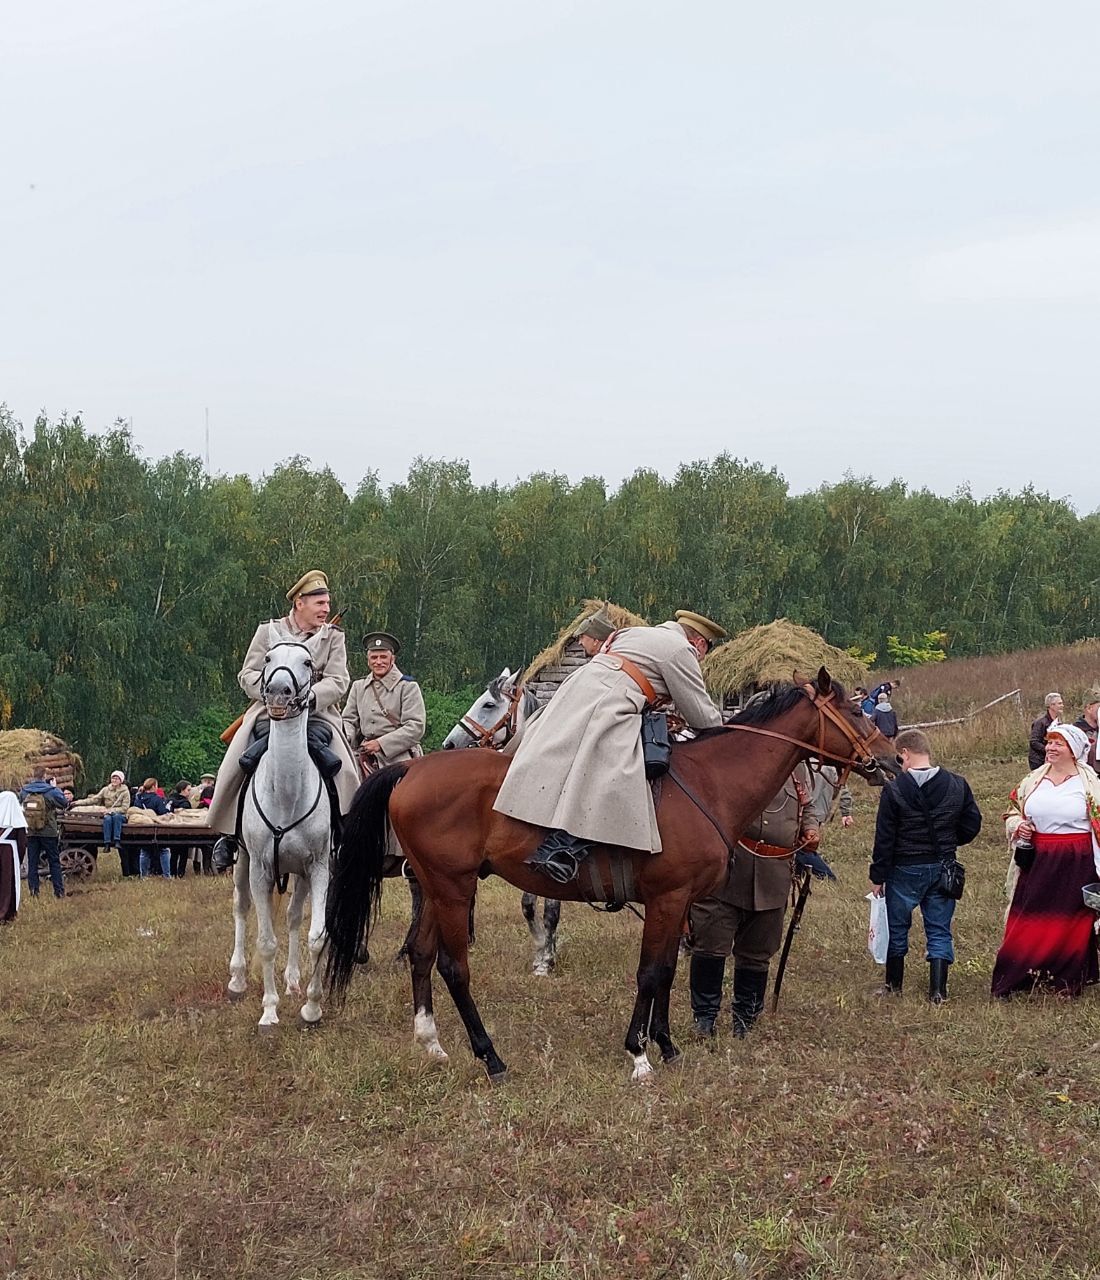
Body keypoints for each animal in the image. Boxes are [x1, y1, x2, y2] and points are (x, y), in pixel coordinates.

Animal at [229, 634, 332, 1024]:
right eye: (268, 658)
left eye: (308, 662)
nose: (277, 692)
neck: (287, 793)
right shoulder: (259, 869)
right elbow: (266, 941)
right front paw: (269, 1012)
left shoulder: (318, 868)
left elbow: (317, 935)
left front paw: (312, 1006)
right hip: (242, 863)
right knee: (241, 907)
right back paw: (237, 979)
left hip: (299, 874)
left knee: (292, 918)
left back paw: (292, 981)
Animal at [440, 665, 563, 972]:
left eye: (488, 704)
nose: (450, 744)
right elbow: (529, 905)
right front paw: (543, 951)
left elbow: (551, 908)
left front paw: (547, 959)